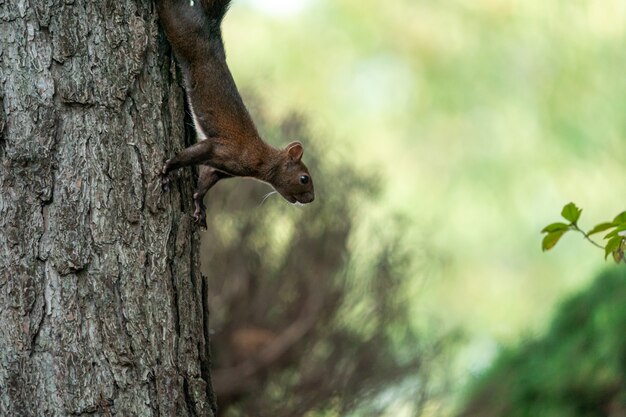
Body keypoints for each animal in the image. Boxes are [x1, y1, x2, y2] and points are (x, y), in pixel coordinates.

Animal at [154, 0, 314, 226]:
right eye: (304, 178)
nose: (311, 199)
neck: (261, 159)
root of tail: (210, 28)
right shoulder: (221, 148)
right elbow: (189, 155)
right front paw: (167, 169)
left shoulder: (219, 169)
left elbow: (205, 181)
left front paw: (199, 205)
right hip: (180, 27)